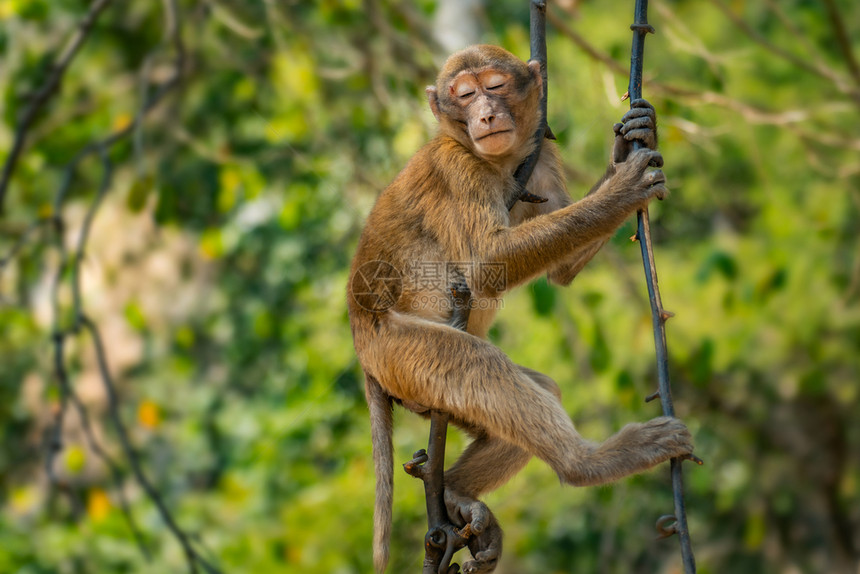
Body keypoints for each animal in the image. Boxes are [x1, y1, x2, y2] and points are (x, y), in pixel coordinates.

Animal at [346, 46, 688, 574]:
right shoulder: (456, 168)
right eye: (466, 95)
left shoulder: (538, 157)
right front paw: (625, 188)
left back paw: (457, 494)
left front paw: (632, 138)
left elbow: (562, 272)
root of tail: (360, 334)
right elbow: (487, 263)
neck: (495, 159)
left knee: (533, 389)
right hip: (398, 349)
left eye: (495, 86)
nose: (486, 115)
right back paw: (589, 464)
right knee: (475, 362)